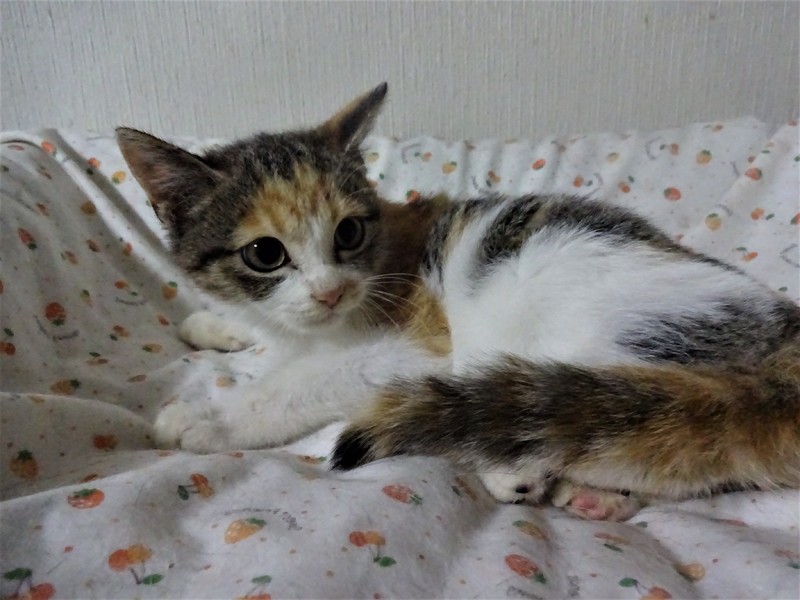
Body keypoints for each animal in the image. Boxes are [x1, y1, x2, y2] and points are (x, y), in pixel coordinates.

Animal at [117, 83, 800, 521]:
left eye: (348, 233)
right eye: (265, 253)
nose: (330, 291)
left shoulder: (418, 342)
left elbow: (303, 379)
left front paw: (211, 416)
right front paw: (213, 324)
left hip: (575, 316)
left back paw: (531, 472)